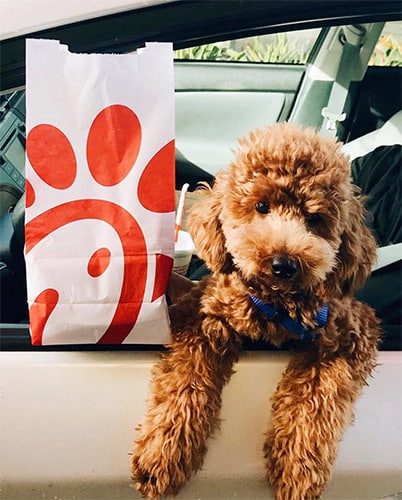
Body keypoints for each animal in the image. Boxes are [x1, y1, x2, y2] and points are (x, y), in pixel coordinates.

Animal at [131, 122, 380, 500]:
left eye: (314, 219)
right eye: (262, 206)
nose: (283, 264)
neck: (277, 305)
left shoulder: (350, 332)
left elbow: (317, 397)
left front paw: (298, 468)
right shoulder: (204, 314)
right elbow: (185, 379)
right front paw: (164, 453)